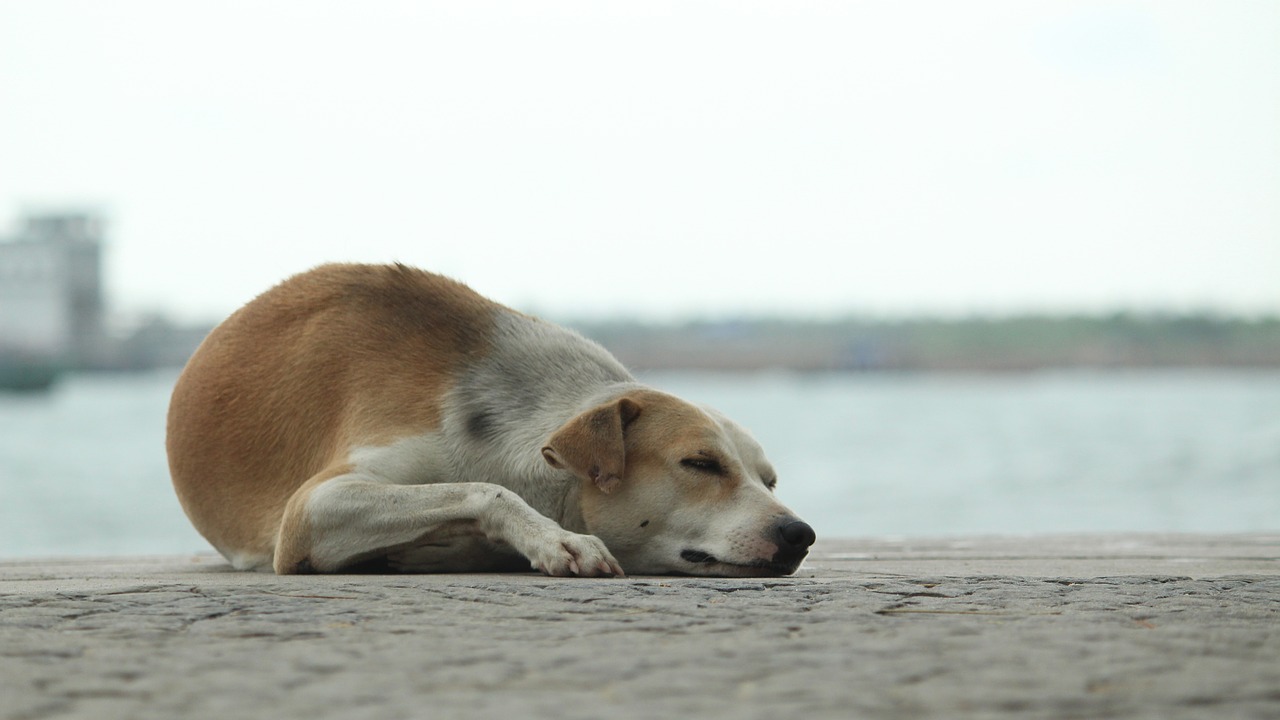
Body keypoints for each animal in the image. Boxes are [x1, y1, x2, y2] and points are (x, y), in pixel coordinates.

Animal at [165, 260, 814, 573]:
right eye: (700, 464)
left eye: (770, 480)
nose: (800, 534)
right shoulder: (309, 512)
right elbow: (484, 490)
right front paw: (554, 540)